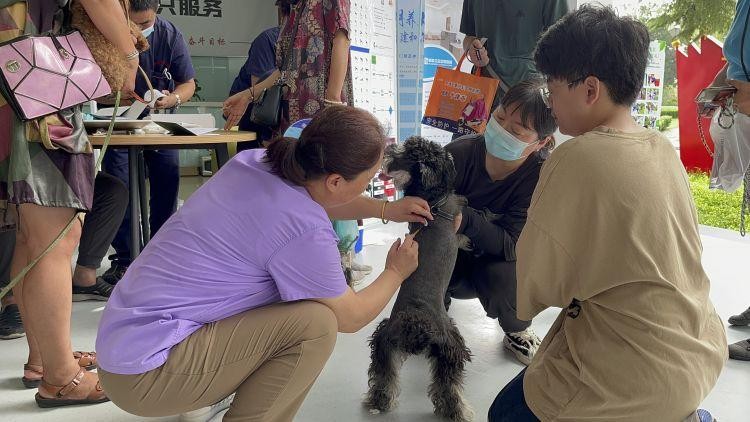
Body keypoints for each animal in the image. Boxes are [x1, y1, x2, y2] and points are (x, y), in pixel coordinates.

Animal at [366, 137, 476, 420]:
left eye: (403, 152)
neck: (433, 200)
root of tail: (416, 324)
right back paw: (458, 411)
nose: (387, 149)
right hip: (451, 345)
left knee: (383, 375)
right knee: (449, 386)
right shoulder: (457, 225)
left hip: (384, 341)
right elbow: (464, 226)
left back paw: (379, 401)